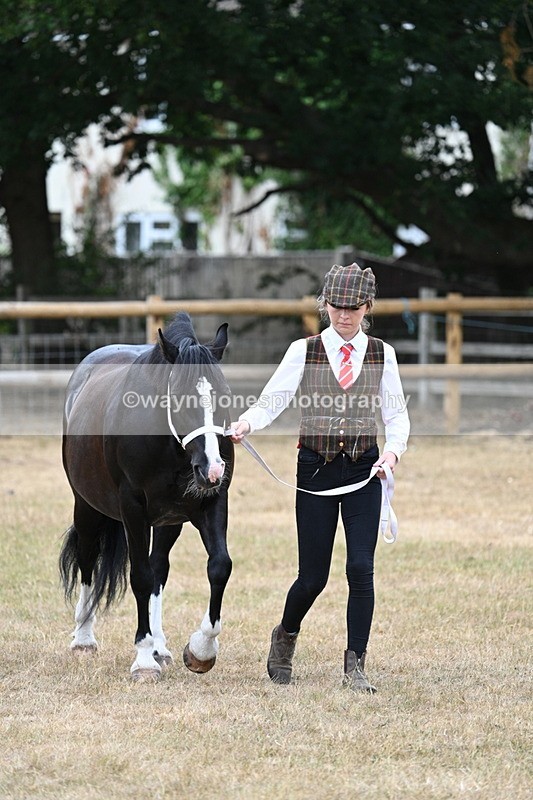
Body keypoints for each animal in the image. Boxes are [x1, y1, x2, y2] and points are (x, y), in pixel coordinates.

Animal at [59, 311, 234, 681]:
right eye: (179, 397)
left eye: (225, 394)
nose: (212, 468)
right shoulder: (132, 510)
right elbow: (139, 576)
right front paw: (142, 660)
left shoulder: (212, 503)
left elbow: (219, 566)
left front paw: (200, 650)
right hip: (87, 507)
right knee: (87, 559)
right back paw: (84, 638)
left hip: (169, 521)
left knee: (159, 570)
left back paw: (160, 647)